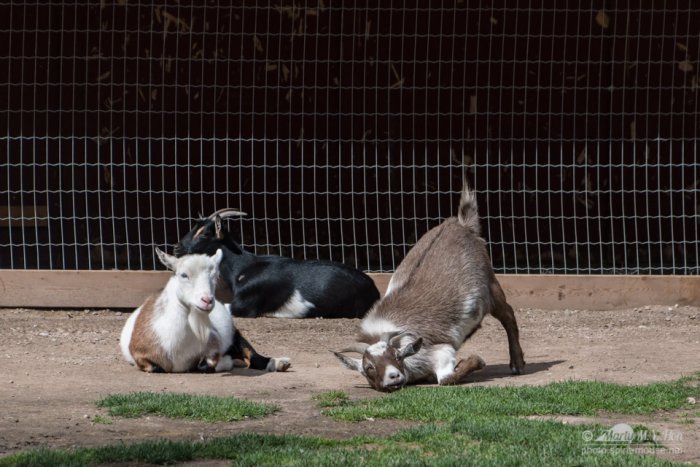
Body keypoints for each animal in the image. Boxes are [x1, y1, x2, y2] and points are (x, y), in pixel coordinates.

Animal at [120, 247, 290, 373]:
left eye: (215, 275)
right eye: (183, 275)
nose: (207, 300)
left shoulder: (213, 344)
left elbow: (206, 365)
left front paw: (225, 362)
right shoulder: (140, 355)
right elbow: (155, 368)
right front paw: (227, 361)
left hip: (234, 333)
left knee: (251, 354)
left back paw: (279, 363)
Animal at [334, 182, 525, 392]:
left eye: (397, 356)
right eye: (369, 367)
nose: (393, 376)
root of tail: (461, 224)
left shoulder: (438, 350)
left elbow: (446, 378)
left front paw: (475, 361)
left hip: (491, 285)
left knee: (508, 314)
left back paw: (517, 364)